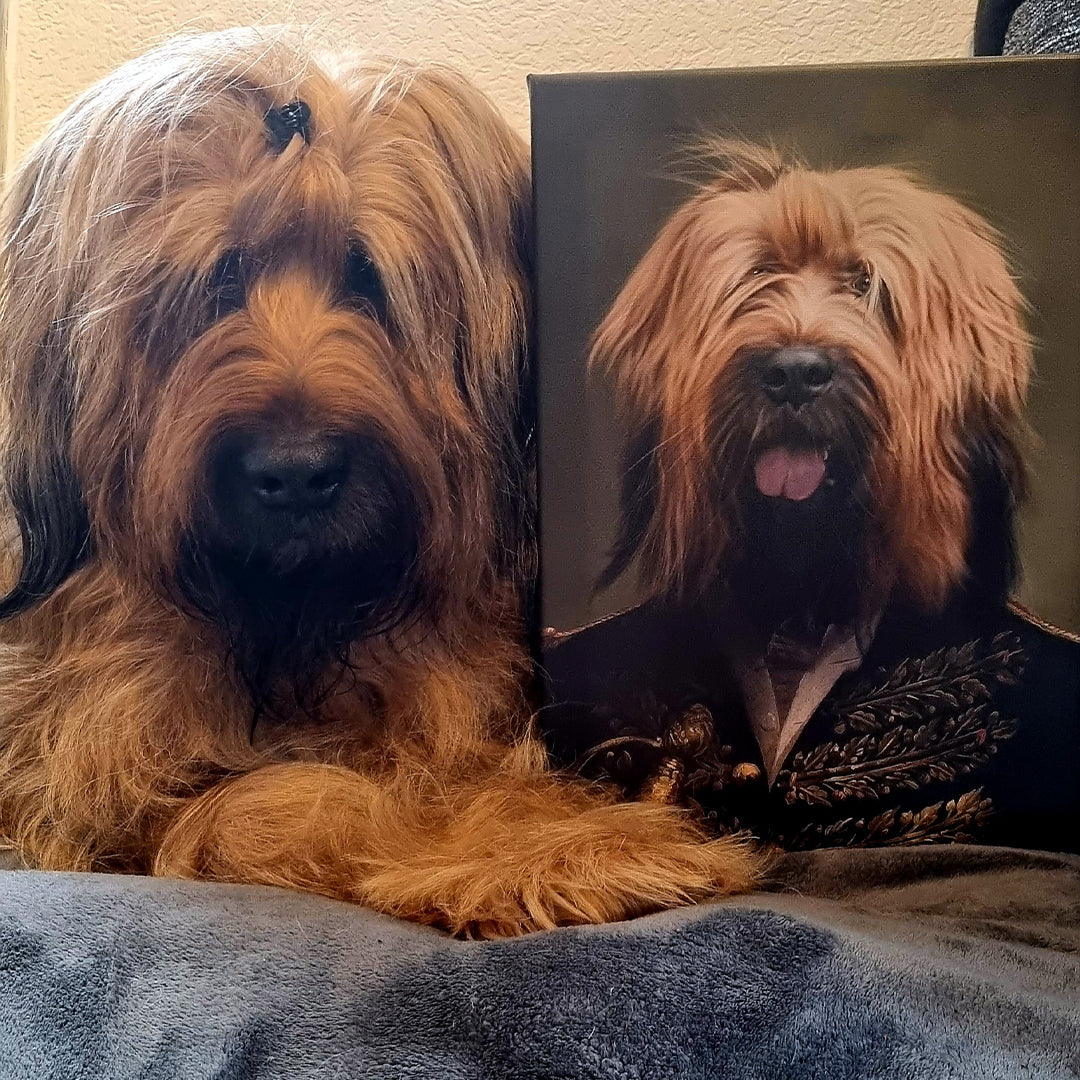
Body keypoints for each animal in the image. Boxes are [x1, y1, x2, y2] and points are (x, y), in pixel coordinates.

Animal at [0, 29, 760, 933]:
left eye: (368, 278)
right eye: (221, 279)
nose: (296, 473)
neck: (290, 628)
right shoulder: (73, 778)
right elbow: (290, 796)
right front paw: (579, 847)